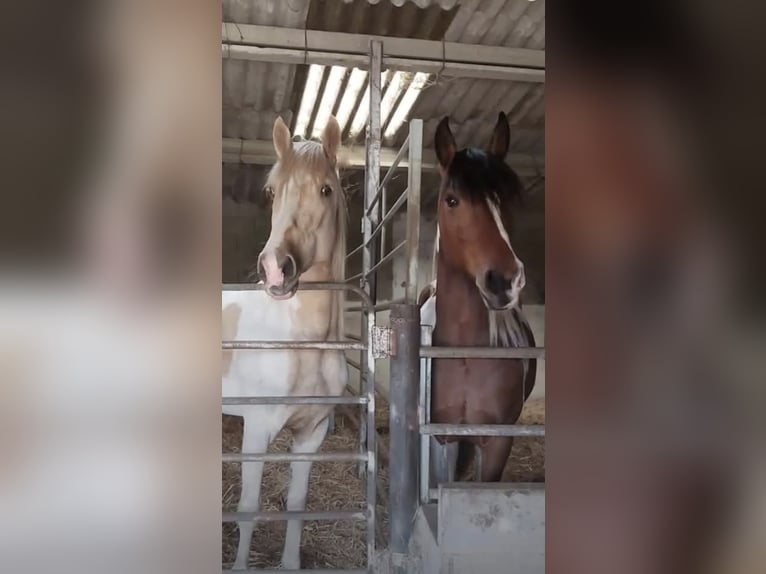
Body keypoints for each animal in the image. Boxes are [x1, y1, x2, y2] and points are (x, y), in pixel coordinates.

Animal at [222, 115, 347, 570]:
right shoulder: (256, 430)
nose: (275, 269)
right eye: (273, 191)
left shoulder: (311, 435)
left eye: (326, 189)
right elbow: (248, 509)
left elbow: (297, 506)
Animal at [419, 112, 537, 484]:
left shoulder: (497, 443)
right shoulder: (441, 439)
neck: (465, 355)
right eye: (451, 200)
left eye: (506, 199)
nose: (504, 281)